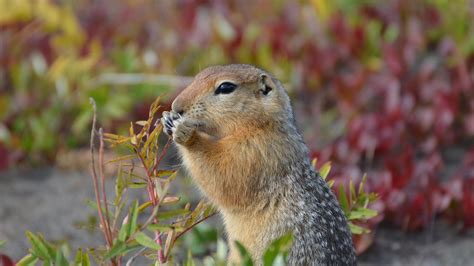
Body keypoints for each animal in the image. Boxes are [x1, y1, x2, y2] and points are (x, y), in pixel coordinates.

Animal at [162, 64, 356, 264]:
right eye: (197, 76)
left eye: (226, 87)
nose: (176, 106)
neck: (263, 125)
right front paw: (167, 119)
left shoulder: (255, 151)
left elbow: (222, 173)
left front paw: (185, 133)